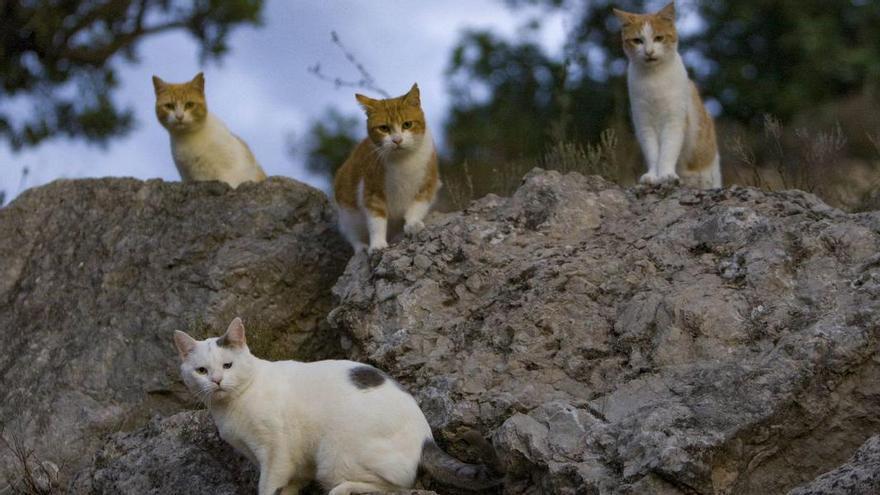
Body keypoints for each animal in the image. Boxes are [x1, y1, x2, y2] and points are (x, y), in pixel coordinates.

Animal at [174, 318, 502, 495]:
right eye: (201, 371)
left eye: (227, 365)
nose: (217, 381)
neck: (231, 406)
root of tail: (426, 437)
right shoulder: (283, 461)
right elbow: (286, 487)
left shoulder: (276, 450)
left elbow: (269, 485)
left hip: (334, 455)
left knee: (406, 487)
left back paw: (345, 488)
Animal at [332, 84, 438, 254]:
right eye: (384, 128)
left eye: (407, 124)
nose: (397, 140)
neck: (403, 161)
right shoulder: (371, 191)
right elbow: (376, 220)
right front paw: (377, 244)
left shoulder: (427, 184)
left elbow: (417, 207)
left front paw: (413, 224)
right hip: (348, 213)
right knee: (352, 234)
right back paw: (361, 247)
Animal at [612, 2, 720, 190]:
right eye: (637, 41)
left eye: (659, 38)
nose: (649, 52)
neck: (654, 80)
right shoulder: (644, 124)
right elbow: (653, 153)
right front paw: (652, 176)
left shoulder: (674, 121)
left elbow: (668, 151)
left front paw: (666, 176)